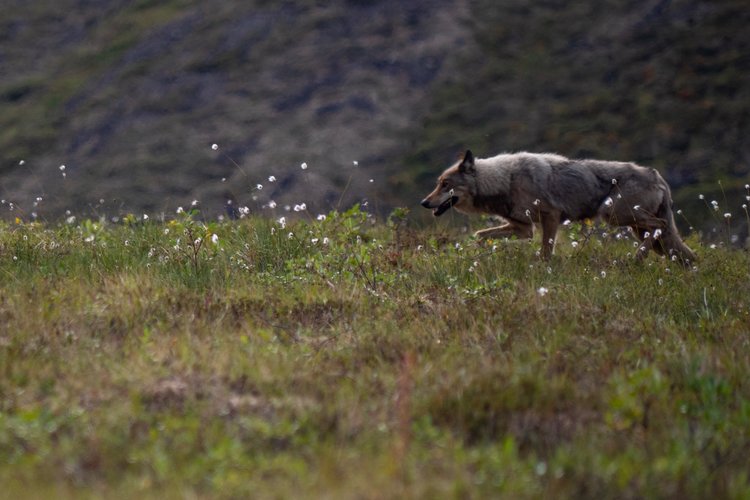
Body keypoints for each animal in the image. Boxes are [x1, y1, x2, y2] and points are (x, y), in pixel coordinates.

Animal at [424, 149, 700, 264]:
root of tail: (657, 176)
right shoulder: (523, 228)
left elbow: (546, 251)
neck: (505, 180)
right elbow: (481, 235)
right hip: (633, 226)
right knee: (662, 237)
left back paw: (636, 257)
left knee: (659, 225)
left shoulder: (550, 218)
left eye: (445, 184)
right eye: (438, 183)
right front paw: (479, 252)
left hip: (614, 216)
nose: (423, 202)